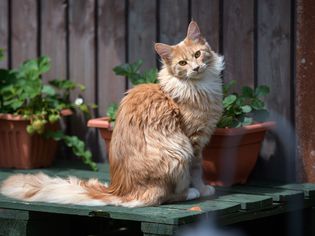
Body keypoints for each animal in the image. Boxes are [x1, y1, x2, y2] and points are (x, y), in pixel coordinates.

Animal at [0, 21, 225, 207]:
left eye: (197, 55)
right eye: (182, 63)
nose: (196, 68)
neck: (199, 87)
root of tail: (117, 190)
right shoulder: (194, 141)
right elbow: (197, 170)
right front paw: (203, 188)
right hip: (178, 153)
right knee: (162, 197)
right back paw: (191, 193)